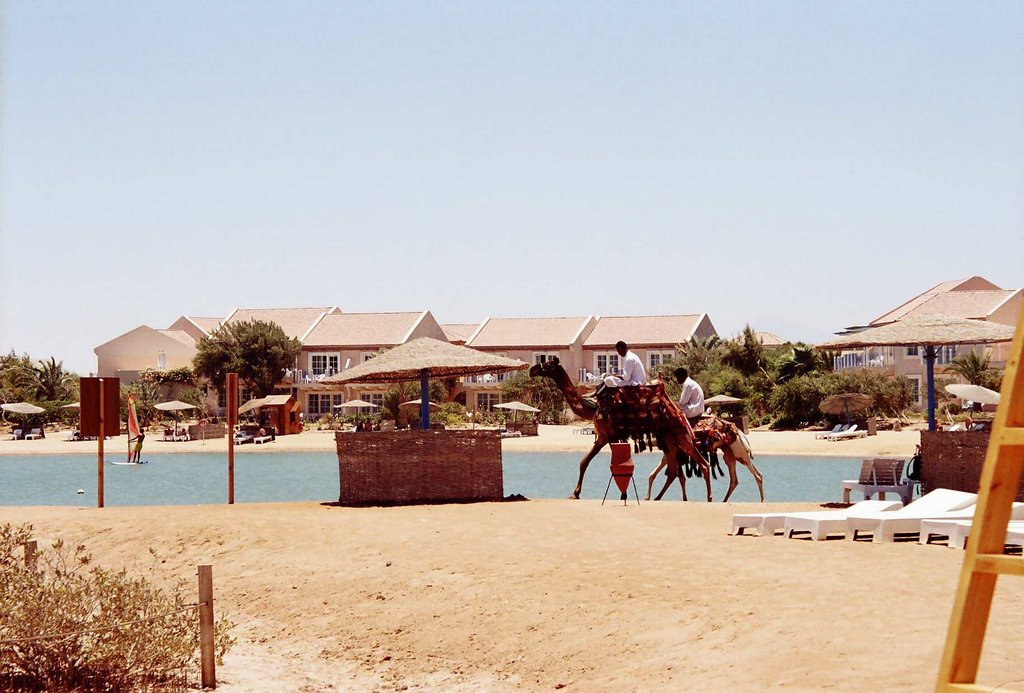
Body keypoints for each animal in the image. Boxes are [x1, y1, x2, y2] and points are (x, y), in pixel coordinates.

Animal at [532, 360, 765, 499]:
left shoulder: (606, 436)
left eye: (547, 364)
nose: (532, 369)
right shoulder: (611, 437)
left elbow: (587, 462)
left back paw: (709, 498)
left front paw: (576, 493)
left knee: (706, 466)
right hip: (689, 445)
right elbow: (601, 464)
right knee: (681, 473)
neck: (594, 406)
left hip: (689, 442)